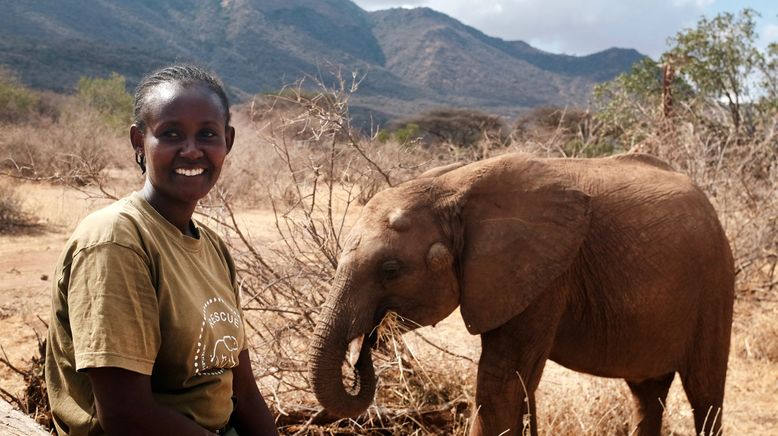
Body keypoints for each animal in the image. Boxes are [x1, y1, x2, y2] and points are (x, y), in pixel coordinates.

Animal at [306, 152, 732, 434]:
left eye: (390, 271)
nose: (365, 347)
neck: (450, 187)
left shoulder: (544, 274)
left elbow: (500, 382)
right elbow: (514, 385)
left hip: (714, 286)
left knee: (705, 395)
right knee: (647, 395)